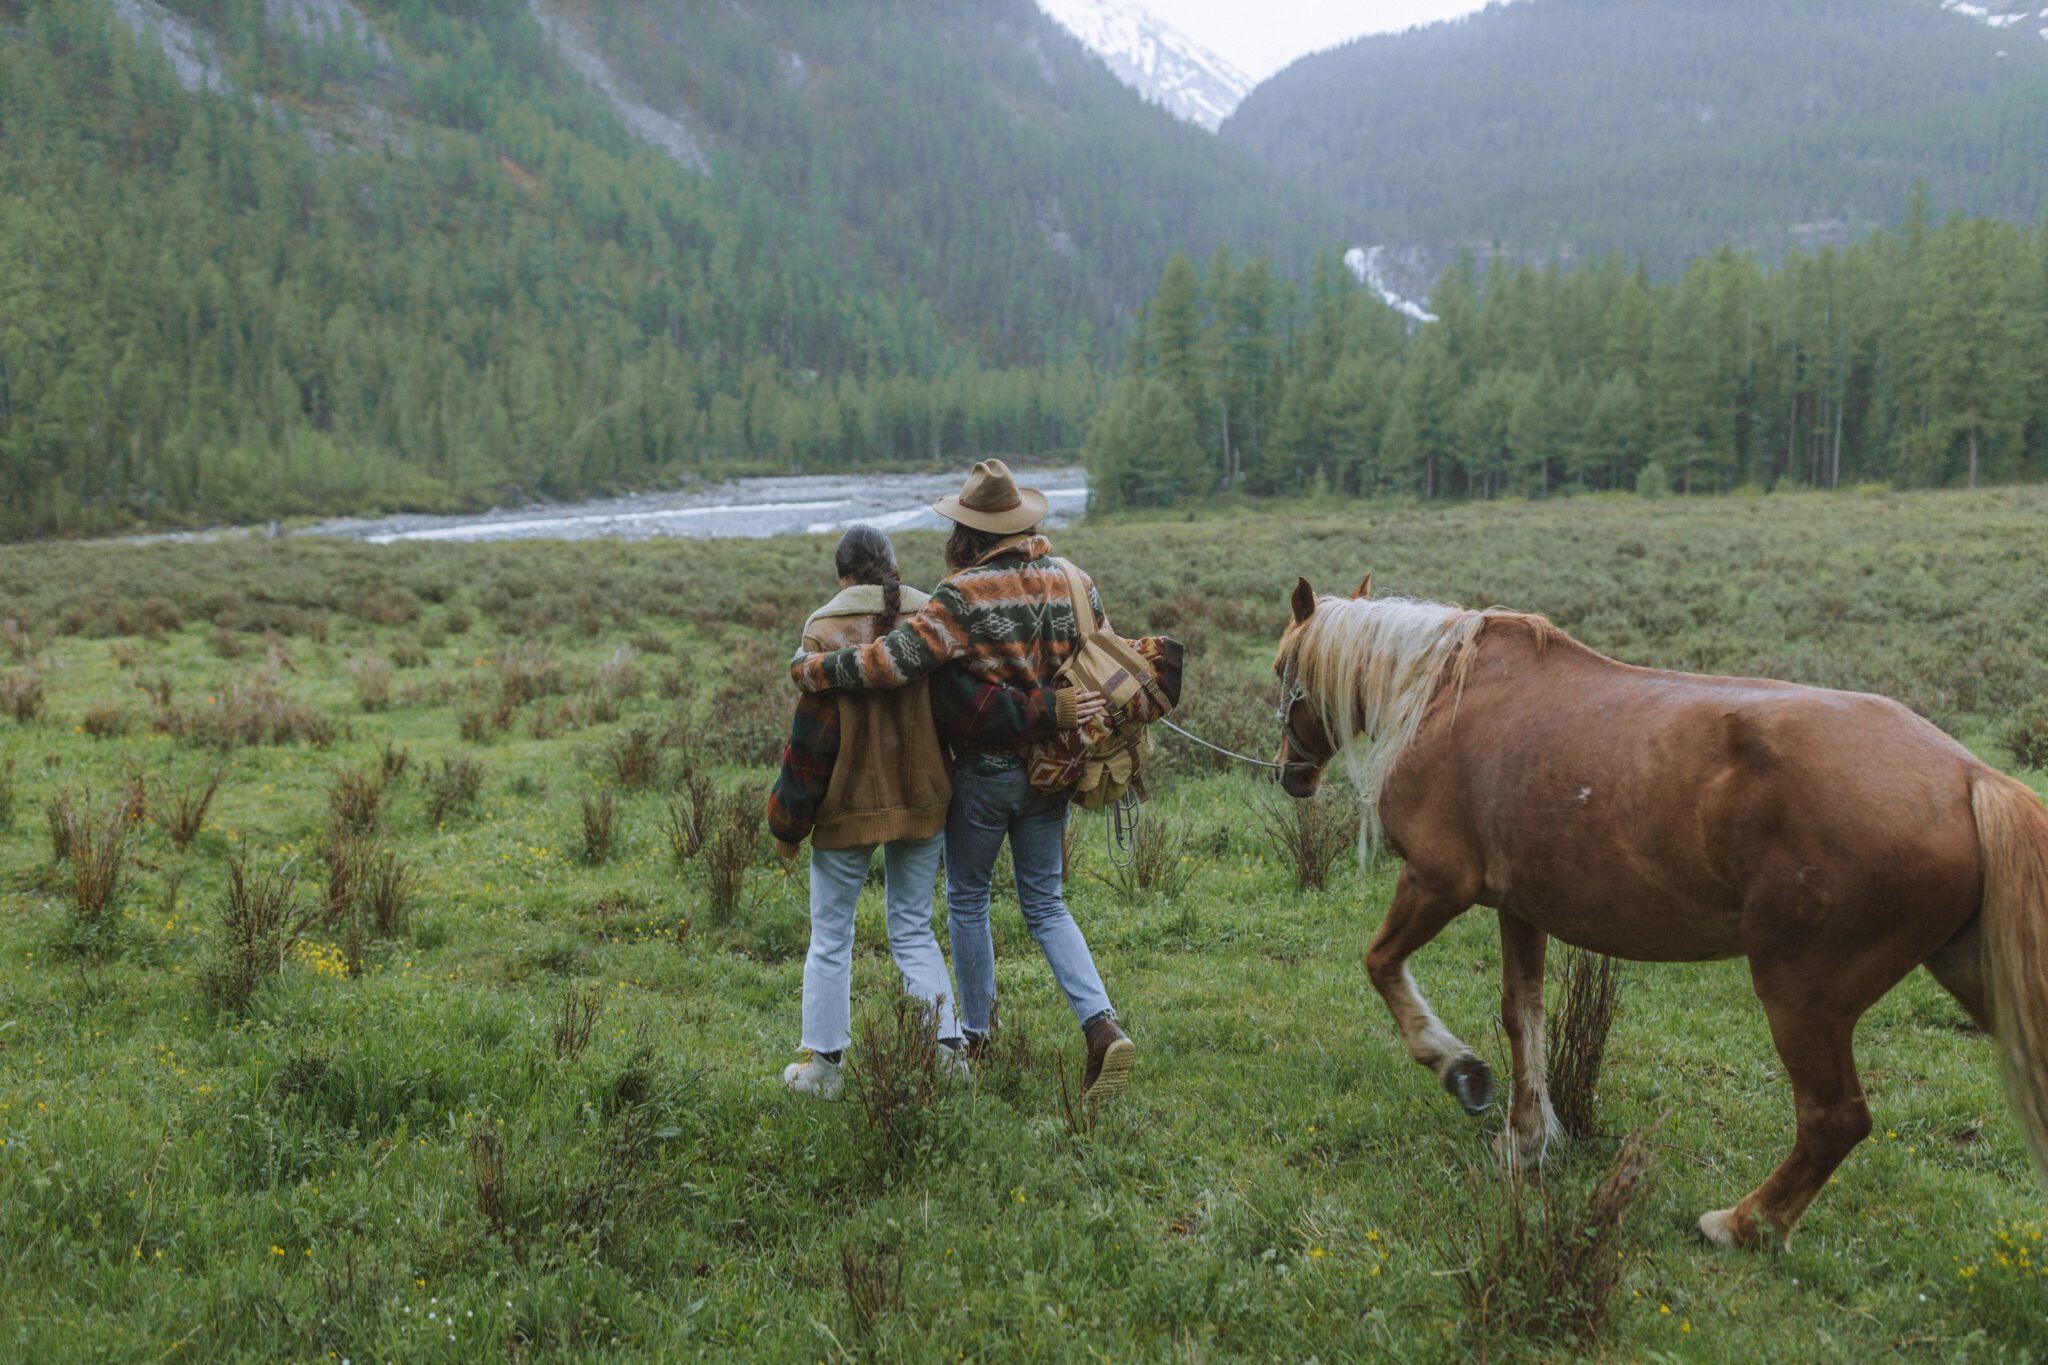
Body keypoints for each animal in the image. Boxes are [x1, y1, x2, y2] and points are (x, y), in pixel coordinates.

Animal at [1269, 577, 2048, 1252]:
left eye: (1281, 669)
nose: (1288, 773)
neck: (1444, 693)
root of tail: (1970, 776)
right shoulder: (1521, 909)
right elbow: (1524, 1017)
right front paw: (1526, 1139)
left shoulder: (1437, 882)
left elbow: (1382, 966)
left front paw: (1457, 1069)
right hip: (1972, 971)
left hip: (1802, 995)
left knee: (1835, 1119)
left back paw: (1743, 1224)